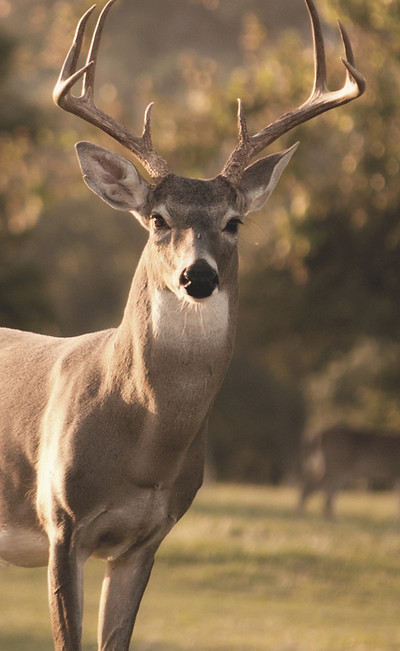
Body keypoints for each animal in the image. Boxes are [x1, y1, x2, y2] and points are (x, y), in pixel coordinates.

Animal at [0, 0, 365, 648]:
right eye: (157, 219)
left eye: (235, 221)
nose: (198, 276)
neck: (144, 445)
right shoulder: (61, 523)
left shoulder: (147, 539)